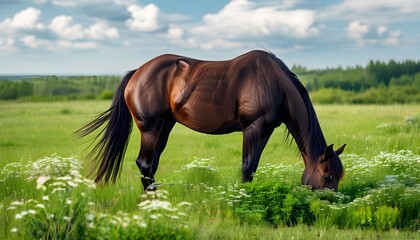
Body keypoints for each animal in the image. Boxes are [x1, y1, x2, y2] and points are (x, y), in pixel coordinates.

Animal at [77, 50, 346, 191]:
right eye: (326, 176)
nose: (330, 206)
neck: (274, 83)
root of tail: (138, 72)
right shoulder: (253, 127)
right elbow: (247, 166)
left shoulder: (266, 129)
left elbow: (253, 166)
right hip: (150, 129)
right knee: (144, 163)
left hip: (165, 127)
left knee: (151, 164)